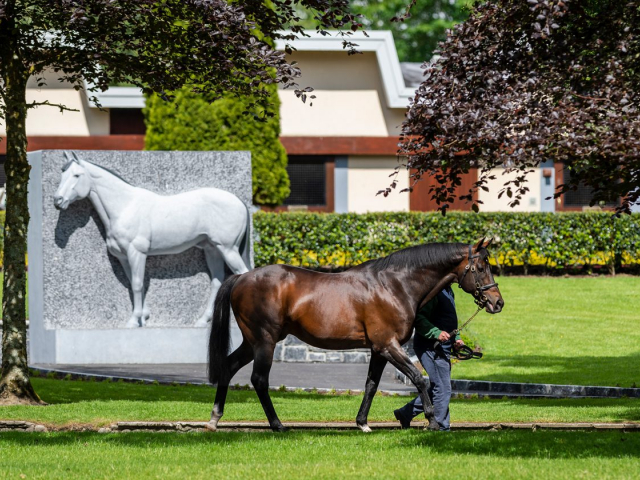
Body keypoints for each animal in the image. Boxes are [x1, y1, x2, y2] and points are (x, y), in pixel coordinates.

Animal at [208, 239, 502, 432]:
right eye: (481, 267)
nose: (497, 303)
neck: (394, 285)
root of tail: (242, 277)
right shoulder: (388, 345)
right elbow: (419, 378)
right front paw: (431, 420)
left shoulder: (378, 349)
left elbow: (371, 384)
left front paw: (362, 423)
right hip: (264, 341)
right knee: (259, 380)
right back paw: (277, 425)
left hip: (253, 342)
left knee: (229, 367)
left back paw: (214, 419)